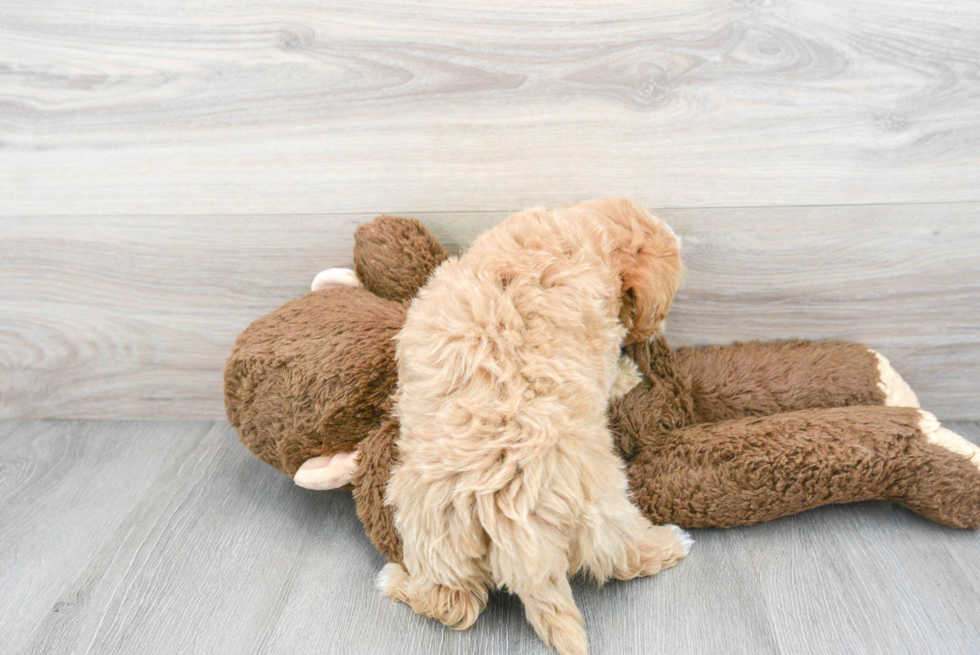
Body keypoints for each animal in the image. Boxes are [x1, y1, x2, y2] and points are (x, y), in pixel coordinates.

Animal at [378, 199, 684, 655]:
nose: (654, 333)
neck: (582, 232)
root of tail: (508, 512)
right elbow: (612, 373)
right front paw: (629, 376)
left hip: (431, 527)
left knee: (450, 604)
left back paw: (397, 581)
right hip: (600, 498)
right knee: (620, 554)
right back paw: (670, 543)